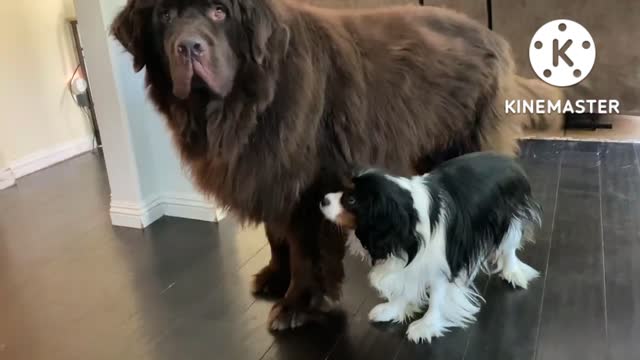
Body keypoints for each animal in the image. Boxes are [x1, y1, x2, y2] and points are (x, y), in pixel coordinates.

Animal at [320, 152, 540, 344]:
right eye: (343, 189)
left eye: (351, 200)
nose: (323, 200)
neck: (407, 219)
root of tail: (509, 160)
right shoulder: (406, 261)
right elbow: (403, 287)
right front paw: (392, 309)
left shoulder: (441, 266)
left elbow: (436, 298)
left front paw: (427, 325)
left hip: (510, 222)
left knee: (509, 250)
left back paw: (513, 273)